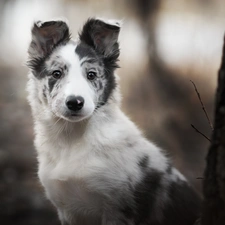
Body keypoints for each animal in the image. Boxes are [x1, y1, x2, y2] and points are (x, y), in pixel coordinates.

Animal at [26, 18, 200, 225]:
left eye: (91, 75)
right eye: (56, 73)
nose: (75, 103)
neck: (73, 138)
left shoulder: (119, 209)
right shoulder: (66, 210)